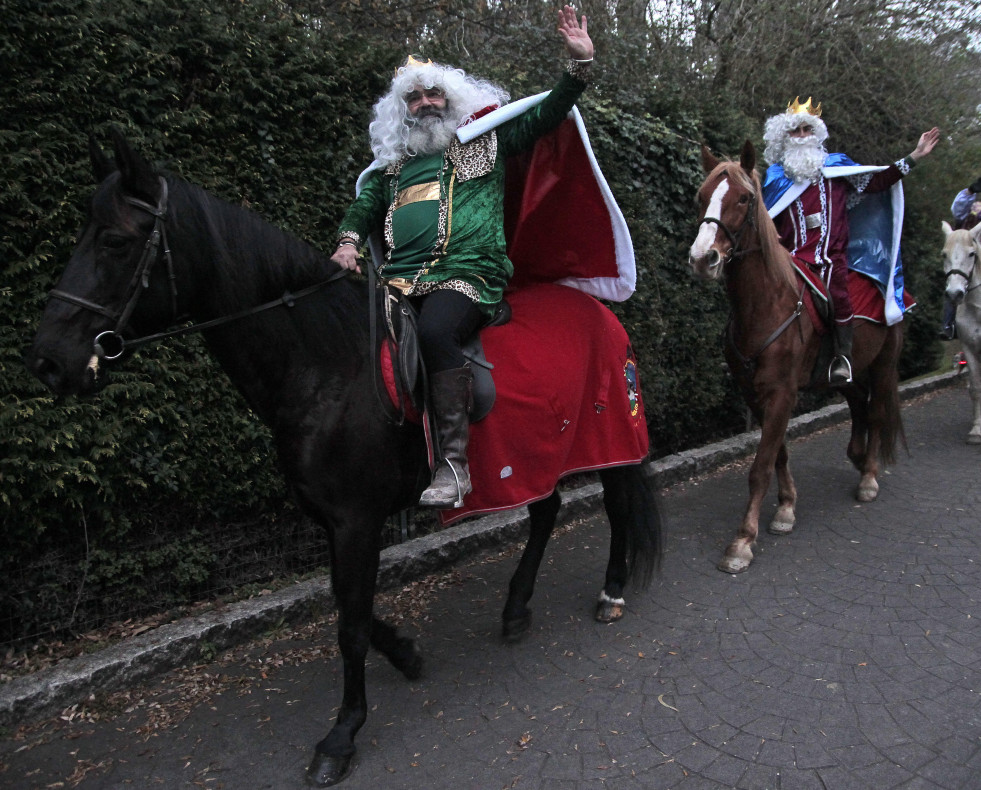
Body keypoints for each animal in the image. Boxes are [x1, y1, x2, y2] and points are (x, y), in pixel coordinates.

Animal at [26, 133, 664, 788]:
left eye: (115, 241)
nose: (49, 360)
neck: (327, 364)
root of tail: (600, 314)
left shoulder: (358, 519)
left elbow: (350, 624)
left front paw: (342, 734)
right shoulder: (333, 519)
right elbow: (346, 602)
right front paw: (406, 653)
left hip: (609, 434)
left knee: (616, 506)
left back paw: (611, 593)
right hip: (532, 456)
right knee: (545, 512)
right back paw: (515, 610)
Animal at [684, 144, 900, 576]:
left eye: (744, 198)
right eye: (702, 196)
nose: (703, 259)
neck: (766, 305)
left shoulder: (782, 394)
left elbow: (760, 467)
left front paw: (742, 541)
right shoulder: (756, 395)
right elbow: (778, 454)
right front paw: (785, 508)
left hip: (884, 363)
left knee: (877, 410)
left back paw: (868, 477)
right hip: (848, 373)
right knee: (860, 404)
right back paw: (857, 456)